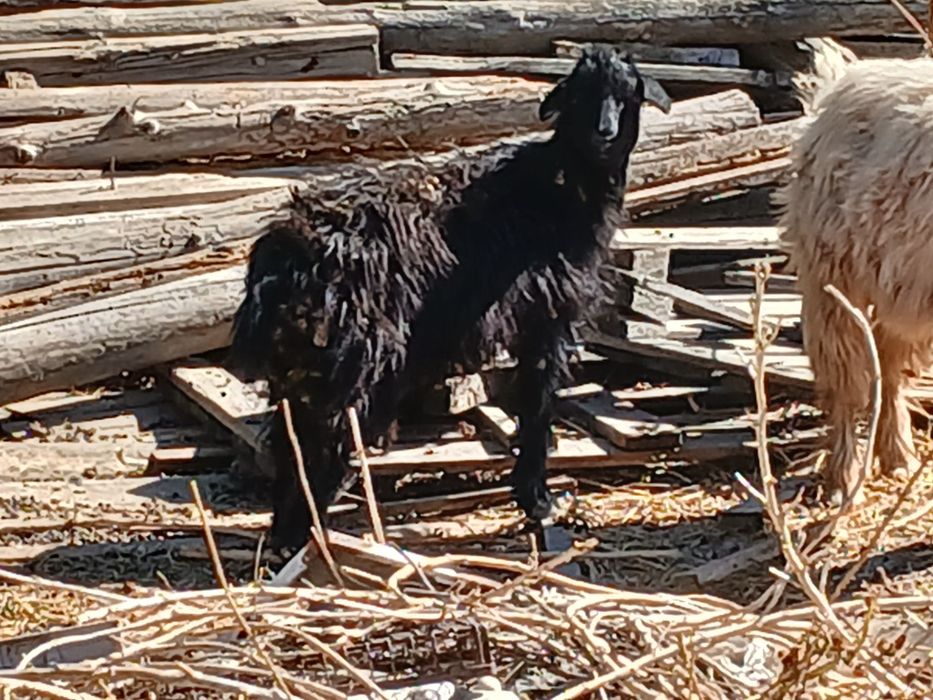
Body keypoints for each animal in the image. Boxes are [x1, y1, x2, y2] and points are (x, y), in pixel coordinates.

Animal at [230, 47, 672, 549]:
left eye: (627, 95)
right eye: (579, 96)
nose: (604, 133)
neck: (558, 185)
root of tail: (287, 253)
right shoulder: (549, 315)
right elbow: (537, 402)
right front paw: (537, 499)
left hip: (307, 365)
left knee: (291, 444)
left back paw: (290, 539)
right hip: (355, 360)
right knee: (328, 442)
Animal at [777, 57, 933, 505]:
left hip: (903, 292)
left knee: (888, 363)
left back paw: (898, 458)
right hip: (831, 277)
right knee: (846, 378)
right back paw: (844, 481)